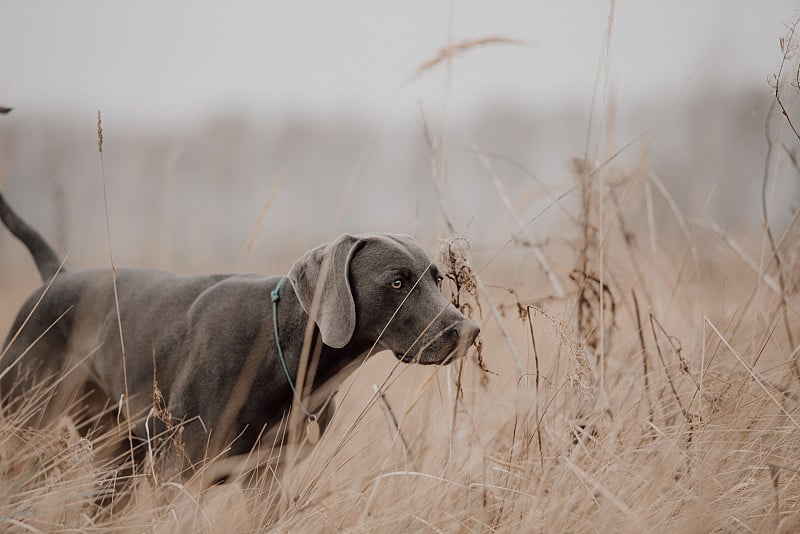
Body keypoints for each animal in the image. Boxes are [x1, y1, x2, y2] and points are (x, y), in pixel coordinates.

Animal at [0, 194, 482, 478]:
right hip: (24, 417)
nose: (469, 331)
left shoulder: (269, 476)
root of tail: (58, 275)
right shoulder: (180, 470)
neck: (281, 354)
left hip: (117, 456)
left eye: (438, 280)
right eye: (397, 282)